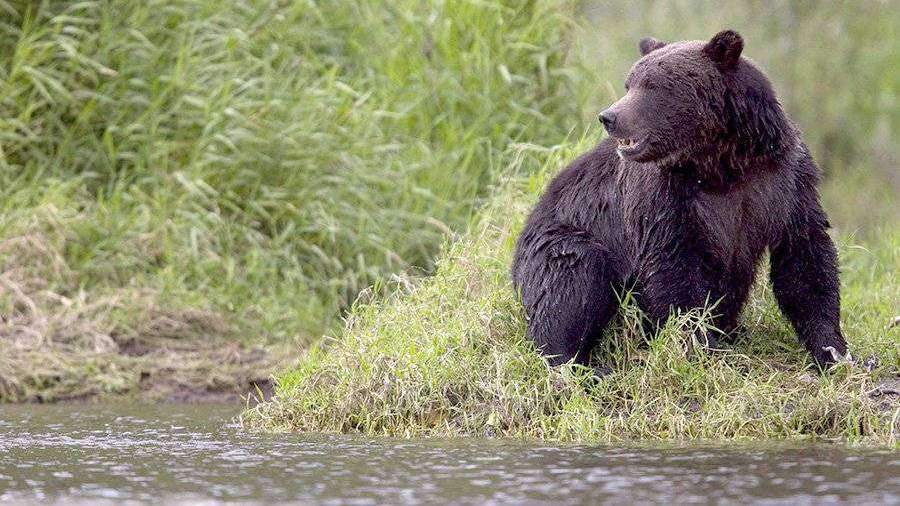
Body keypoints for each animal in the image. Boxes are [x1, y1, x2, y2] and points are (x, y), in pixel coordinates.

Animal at [512, 29, 852, 370]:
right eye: (629, 83)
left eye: (652, 86)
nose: (609, 117)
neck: (722, 164)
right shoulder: (665, 196)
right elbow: (674, 269)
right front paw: (701, 347)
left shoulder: (782, 181)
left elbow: (804, 258)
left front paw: (835, 351)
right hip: (560, 238)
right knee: (572, 279)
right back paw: (580, 364)